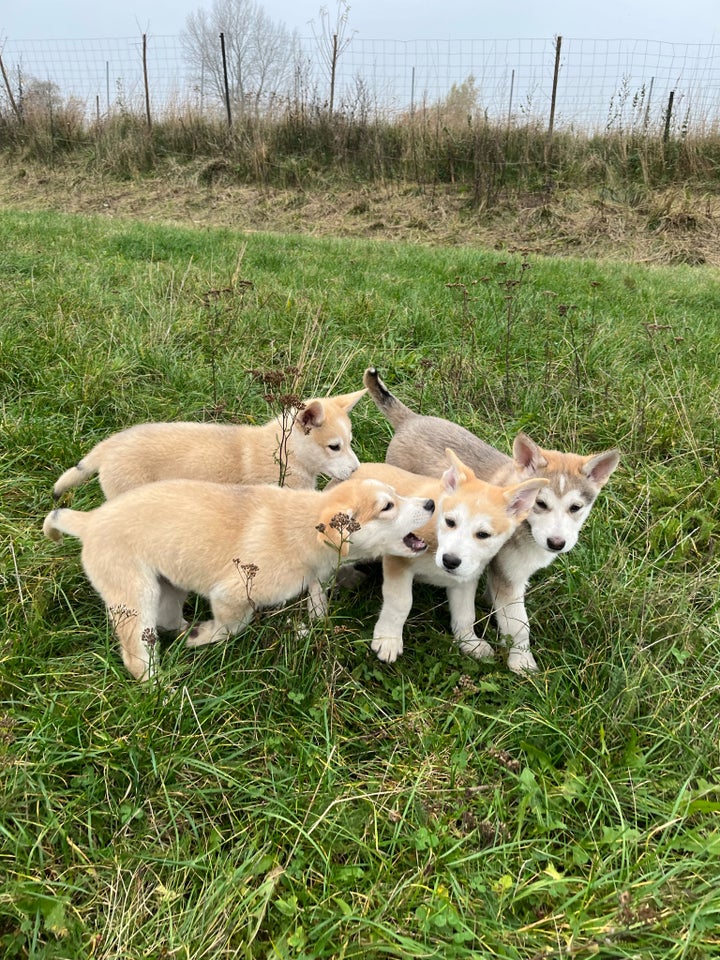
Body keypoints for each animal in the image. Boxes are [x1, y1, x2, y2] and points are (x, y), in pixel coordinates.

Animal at [43, 476, 434, 680]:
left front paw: (316, 622)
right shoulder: (230, 595)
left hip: (168, 584)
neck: (302, 526)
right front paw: (205, 638)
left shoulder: (311, 577)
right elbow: (233, 625)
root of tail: (90, 521)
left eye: (396, 493)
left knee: (167, 618)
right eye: (387, 506)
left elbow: (317, 599)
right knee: (137, 657)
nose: (431, 503)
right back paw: (162, 690)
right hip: (135, 596)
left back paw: (183, 631)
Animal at [348, 452, 544, 664]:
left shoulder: (465, 581)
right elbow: (400, 603)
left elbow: (465, 614)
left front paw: (469, 641)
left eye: (483, 535)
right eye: (450, 522)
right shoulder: (397, 560)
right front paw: (389, 638)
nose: (450, 560)